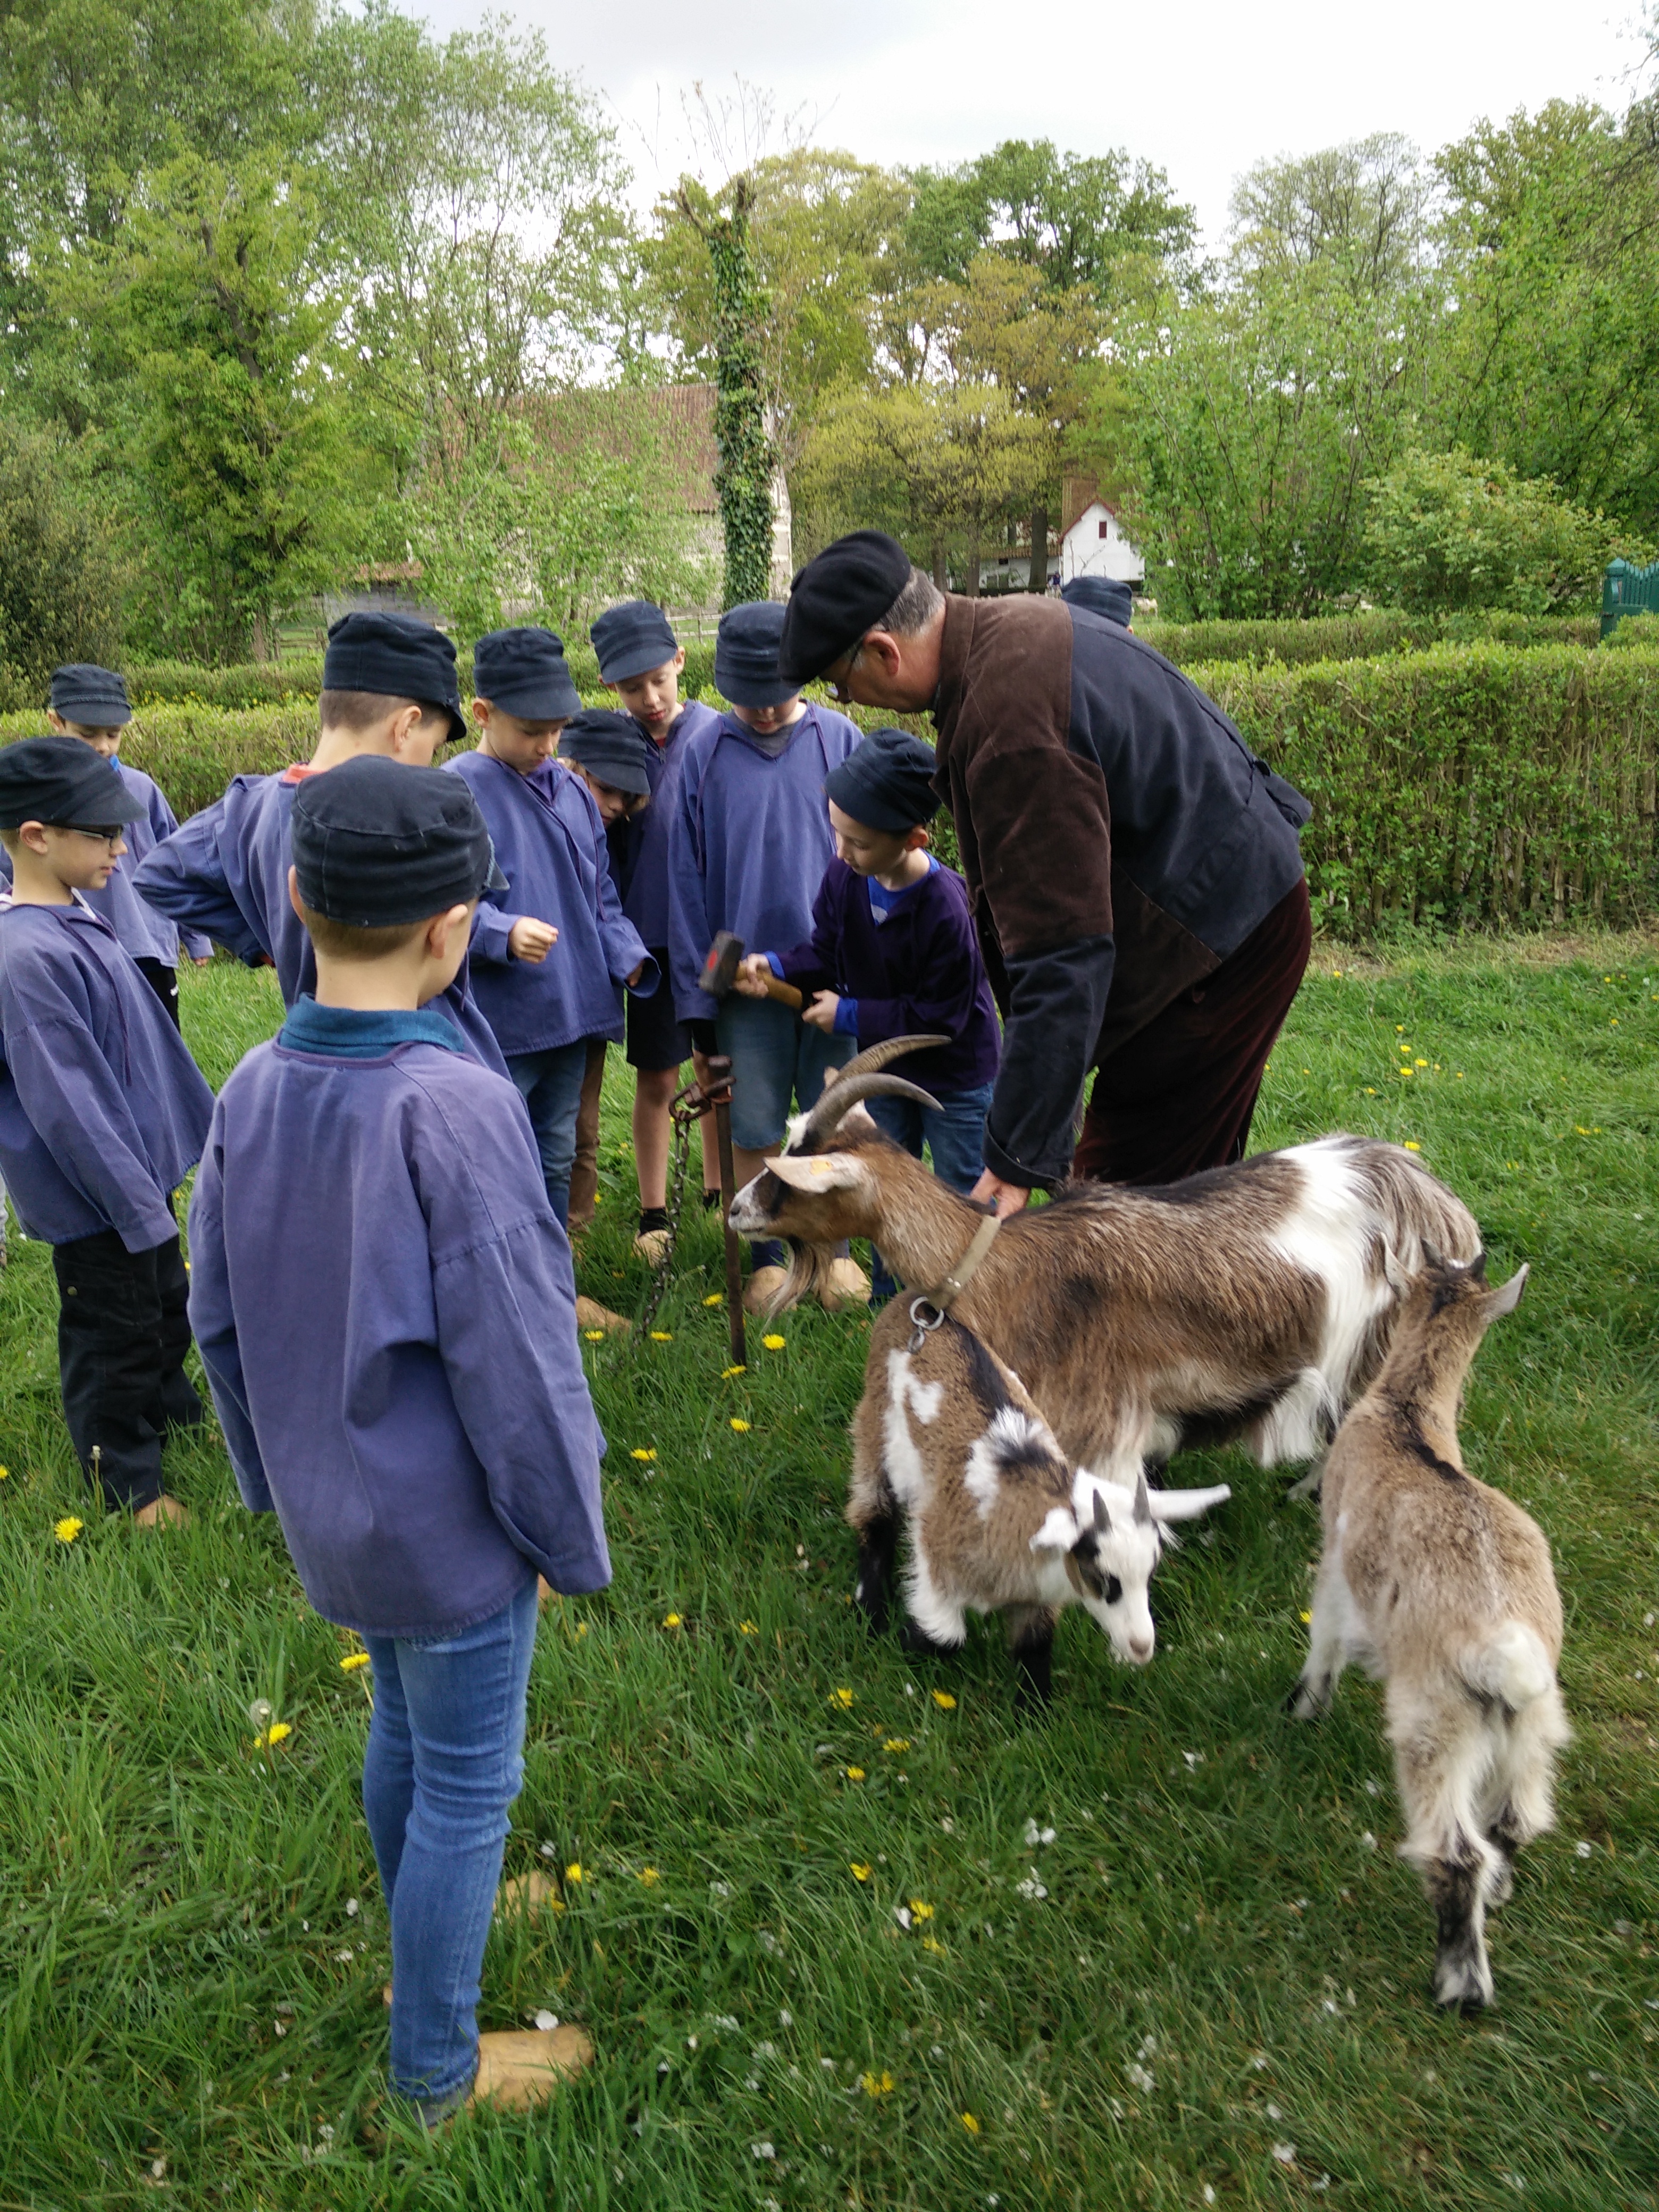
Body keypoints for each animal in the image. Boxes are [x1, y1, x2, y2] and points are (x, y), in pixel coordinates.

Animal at [734, 1035, 1486, 1486]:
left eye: (791, 1173)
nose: (737, 1209)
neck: (1010, 1267)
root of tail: (1434, 1199)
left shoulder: (1101, 1423)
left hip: (1384, 1343)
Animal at [858, 1301, 1238, 1698]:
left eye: (1151, 1572)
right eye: (1101, 1577)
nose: (1141, 1648)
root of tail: (920, 1310)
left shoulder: (1036, 1598)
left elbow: (1035, 1648)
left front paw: (1032, 1709)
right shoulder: (935, 1552)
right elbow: (942, 1637)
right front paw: (905, 1648)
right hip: (873, 1432)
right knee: (873, 1517)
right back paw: (871, 1614)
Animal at [1292, 1256, 1574, 2017]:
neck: (1406, 1417)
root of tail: (1506, 1651)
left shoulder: (1337, 1557)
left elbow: (1325, 1637)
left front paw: (1303, 1708)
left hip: (1436, 1720)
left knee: (1456, 1849)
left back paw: (1461, 1984)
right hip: (1533, 1726)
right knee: (1512, 1820)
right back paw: (1497, 1895)